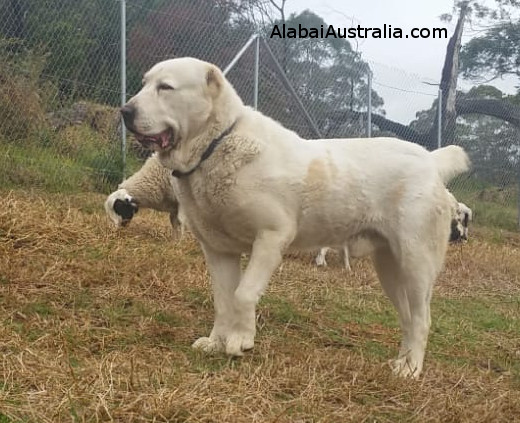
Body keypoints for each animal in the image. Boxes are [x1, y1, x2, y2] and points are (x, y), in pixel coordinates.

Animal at [122, 56, 472, 378]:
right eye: (144, 83)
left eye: (166, 87)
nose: (125, 112)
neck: (216, 144)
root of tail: (430, 160)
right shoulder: (218, 250)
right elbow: (223, 299)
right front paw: (217, 342)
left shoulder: (271, 236)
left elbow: (243, 294)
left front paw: (240, 341)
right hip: (389, 268)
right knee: (409, 318)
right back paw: (402, 361)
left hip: (415, 263)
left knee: (422, 319)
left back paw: (411, 369)